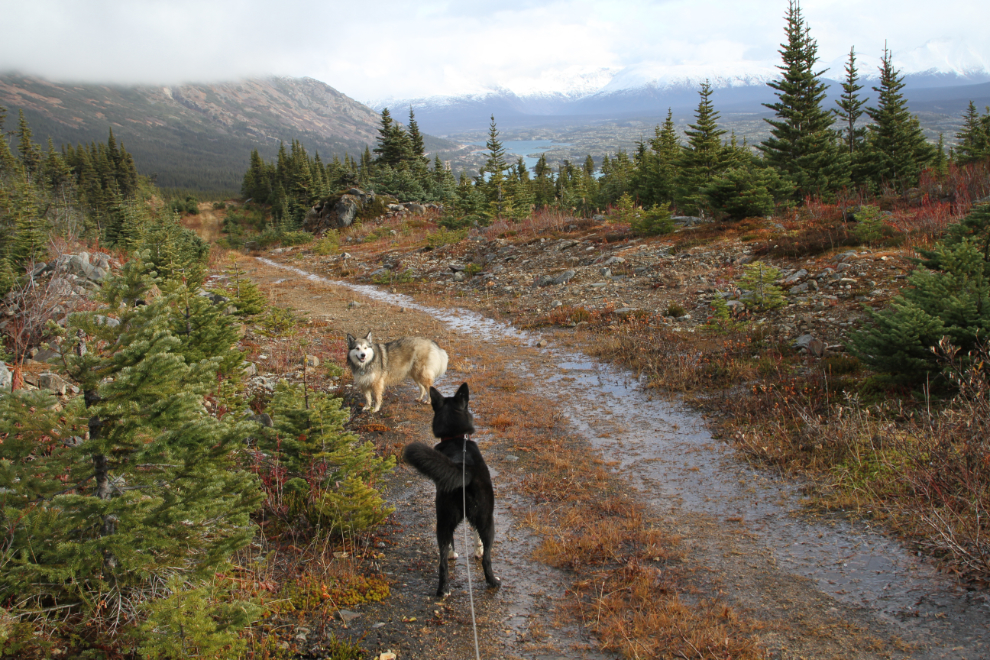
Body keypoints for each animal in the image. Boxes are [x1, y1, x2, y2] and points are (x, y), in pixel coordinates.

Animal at [404, 382, 500, 600]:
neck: (456, 439)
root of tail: (463, 468)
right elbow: (477, 537)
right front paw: (478, 549)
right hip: (486, 519)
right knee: (486, 559)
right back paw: (493, 582)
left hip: (444, 519)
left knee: (442, 560)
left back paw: (443, 588)